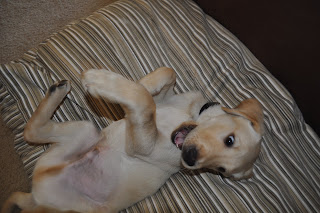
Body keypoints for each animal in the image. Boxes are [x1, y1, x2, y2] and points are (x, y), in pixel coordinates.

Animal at [1, 68, 264, 213]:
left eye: (220, 170)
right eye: (230, 140)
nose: (190, 159)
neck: (189, 115)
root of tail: (36, 199)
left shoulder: (144, 146)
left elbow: (145, 105)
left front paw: (103, 82)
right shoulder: (169, 98)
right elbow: (164, 76)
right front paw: (140, 83)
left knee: (30, 133)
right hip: (86, 132)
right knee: (30, 132)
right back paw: (57, 91)